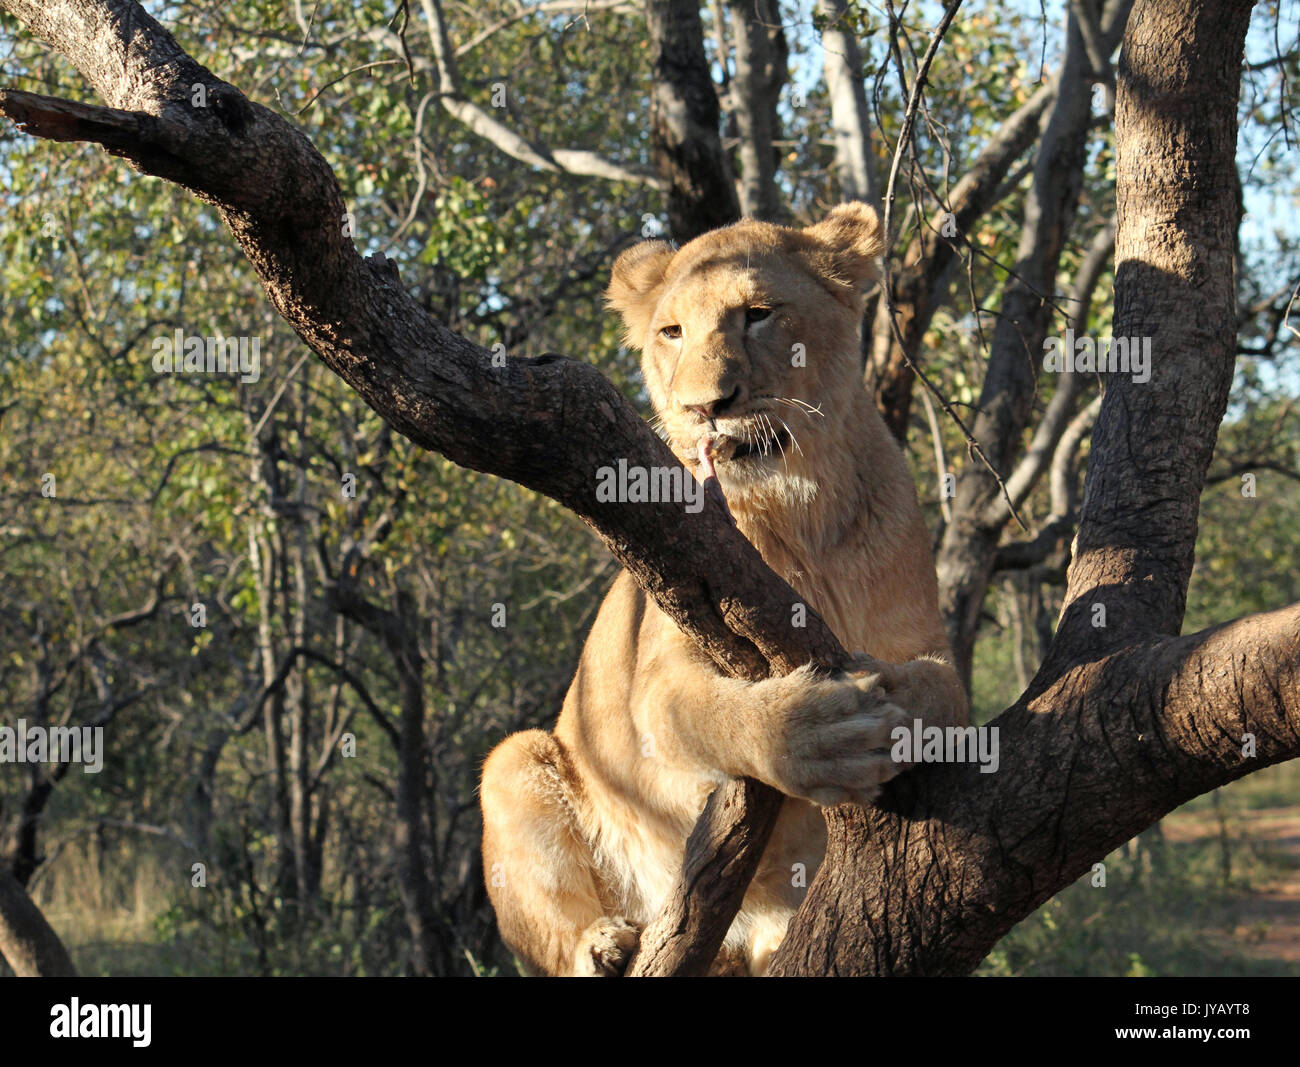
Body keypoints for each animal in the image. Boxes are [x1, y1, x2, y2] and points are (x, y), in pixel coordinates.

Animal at [478, 204, 967, 977]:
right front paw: (816, 735)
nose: (705, 406)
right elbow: (705, 713)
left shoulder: (923, 639)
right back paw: (605, 944)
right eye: (671, 333)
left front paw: (900, 705)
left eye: (759, 314)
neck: (798, 508)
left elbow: (945, 691)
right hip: (514, 760)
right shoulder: (663, 657)